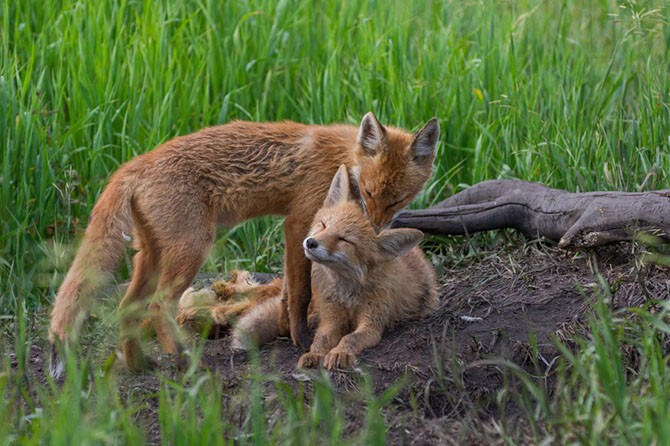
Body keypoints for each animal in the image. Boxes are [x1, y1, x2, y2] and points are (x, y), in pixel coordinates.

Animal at [180, 166, 440, 368]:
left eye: (344, 240)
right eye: (323, 225)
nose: (310, 242)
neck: (347, 293)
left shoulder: (372, 322)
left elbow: (350, 339)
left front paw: (339, 353)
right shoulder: (331, 317)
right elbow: (322, 339)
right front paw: (314, 354)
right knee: (233, 302)